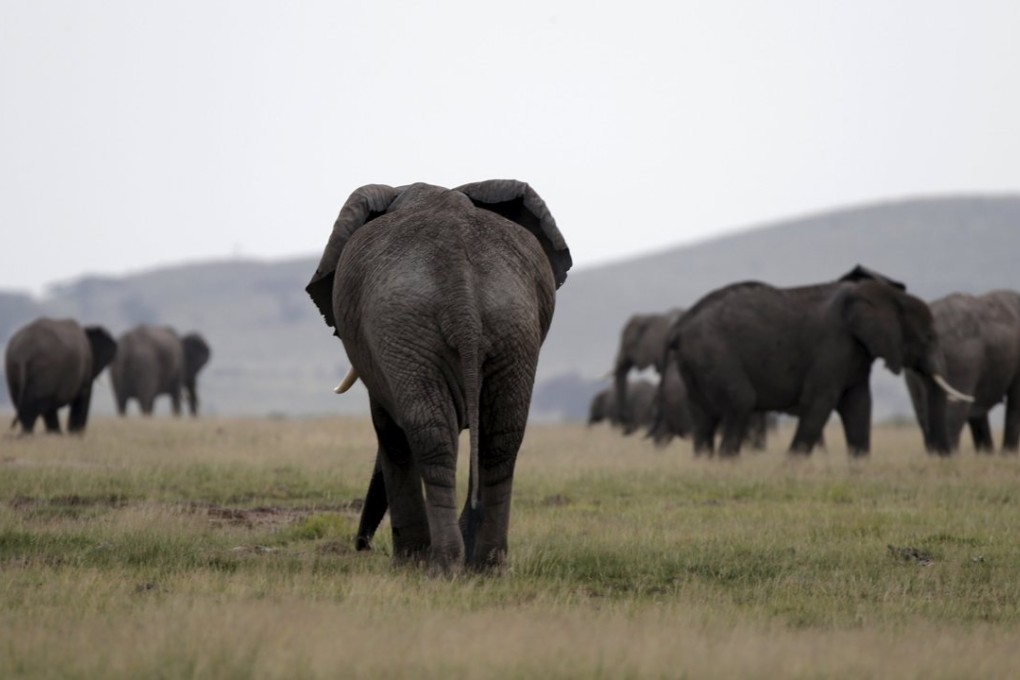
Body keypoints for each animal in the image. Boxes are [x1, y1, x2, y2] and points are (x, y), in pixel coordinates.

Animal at [306, 180, 571, 573]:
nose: (362, 546)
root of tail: (461, 288)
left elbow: (388, 429)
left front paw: (408, 562)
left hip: (407, 329)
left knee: (429, 435)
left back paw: (440, 567)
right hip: (512, 327)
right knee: (500, 438)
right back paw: (486, 567)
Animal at [666, 265, 972, 457]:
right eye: (928, 337)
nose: (943, 459)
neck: (881, 294)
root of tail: (681, 326)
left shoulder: (856, 352)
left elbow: (859, 405)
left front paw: (859, 466)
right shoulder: (832, 346)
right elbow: (821, 402)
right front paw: (790, 466)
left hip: (696, 362)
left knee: (703, 415)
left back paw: (706, 463)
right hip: (714, 351)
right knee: (740, 402)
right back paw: (727, 463)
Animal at [906, 290, 1020, 453]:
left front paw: (986, 454)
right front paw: (1005, 455)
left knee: (923, 411)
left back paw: (935, 454)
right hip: (962, 356)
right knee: (952, 410)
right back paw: (949, 455)